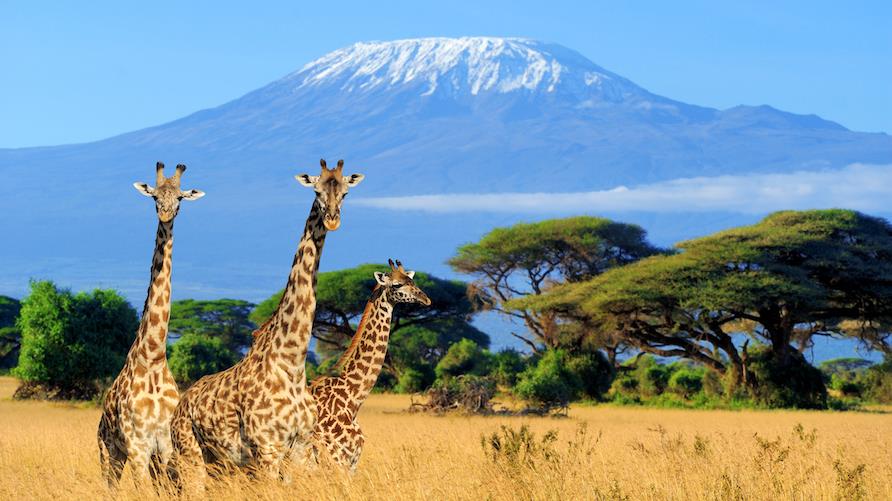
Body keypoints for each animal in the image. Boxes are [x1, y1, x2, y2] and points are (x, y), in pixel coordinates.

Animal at [97, 162, 205, 488]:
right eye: (155, 196)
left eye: (180, 198)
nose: (166, 214)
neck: (154, 356)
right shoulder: (138, 446)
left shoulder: (165, 446)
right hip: (108, 452)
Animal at [169, 159, 363, 487]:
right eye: (316, 190)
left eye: (346, 192)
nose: (333, 220)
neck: (292, 363)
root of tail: (180, 407)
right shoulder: (267, 449)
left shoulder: (300, 448)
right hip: (190, 454)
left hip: (219, 462)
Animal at [309, 259, 431, 471]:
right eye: (396, 285)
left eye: (412, 281)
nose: (426, 299)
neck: (352, 400)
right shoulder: (337, 460)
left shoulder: (351, 462)